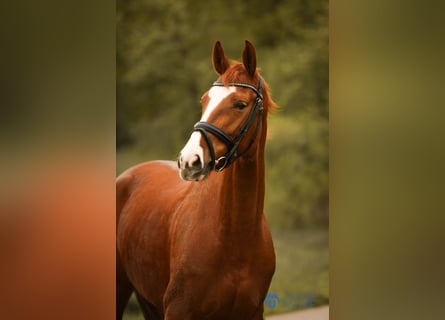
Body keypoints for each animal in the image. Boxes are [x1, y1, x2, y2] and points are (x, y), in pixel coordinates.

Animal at [117, 40, 278, 320]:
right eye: (205, 100)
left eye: (240, 104)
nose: (189, 160)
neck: (235, 238)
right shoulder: (179, 310)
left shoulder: (252, 312)